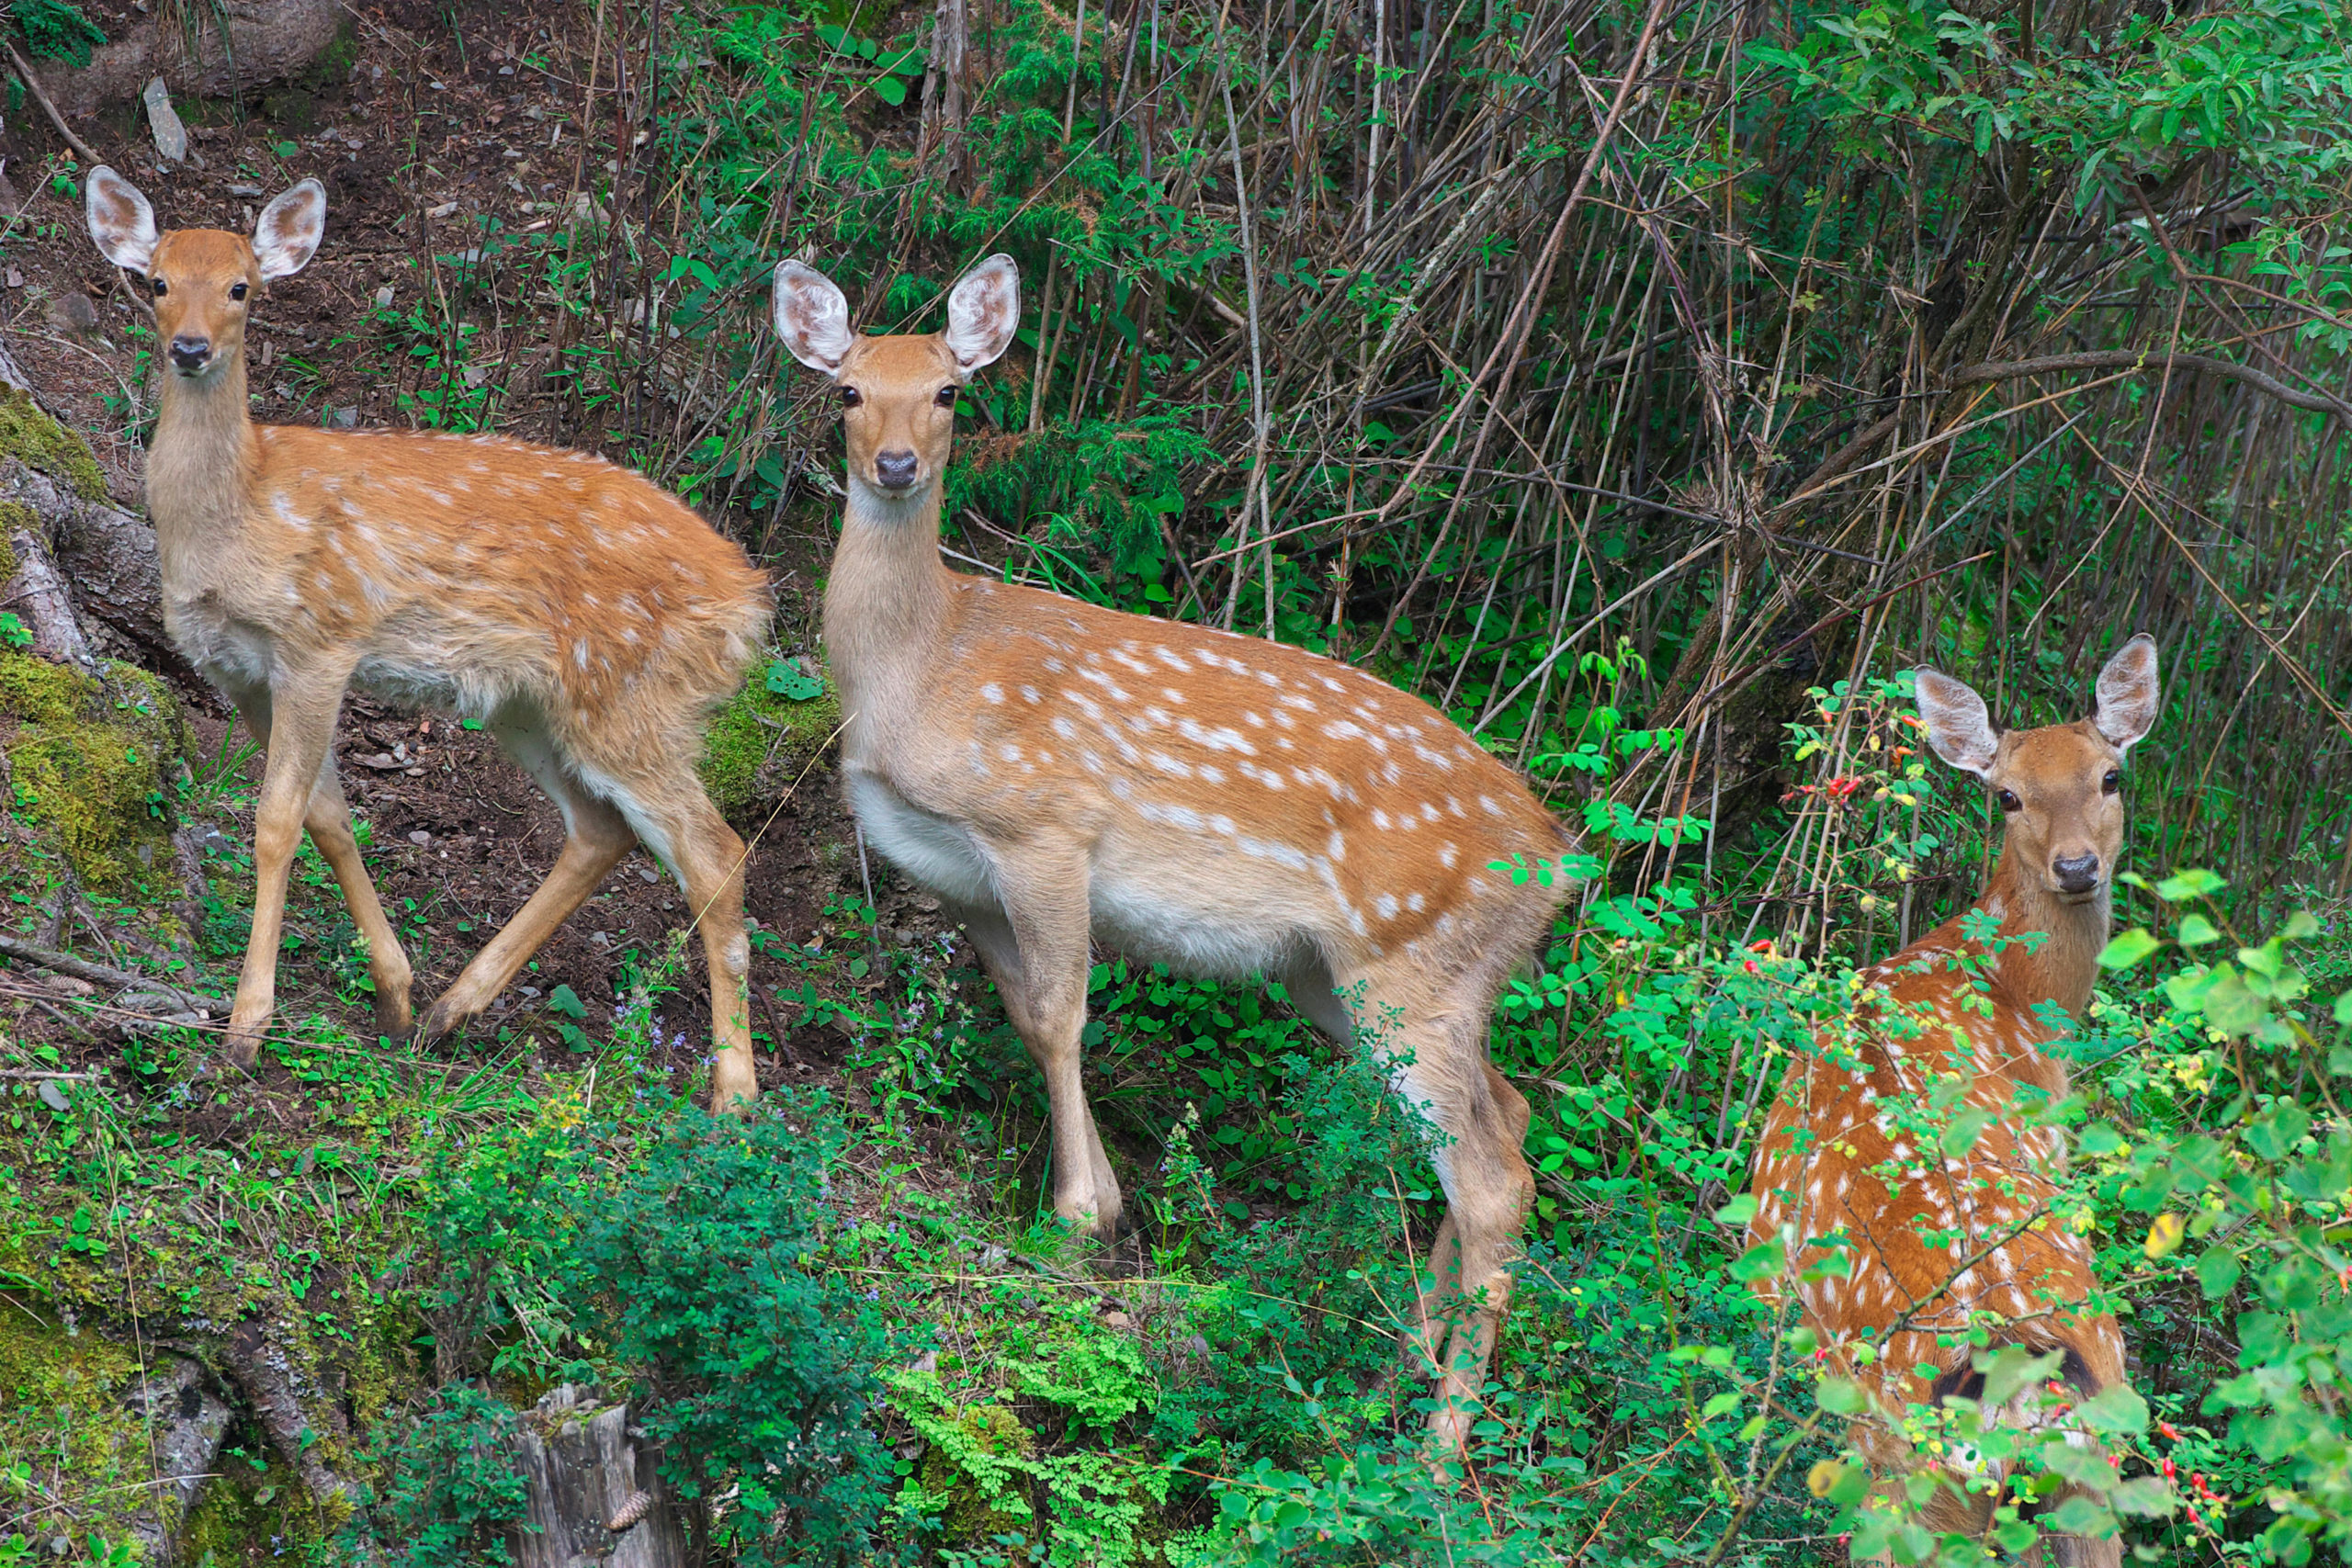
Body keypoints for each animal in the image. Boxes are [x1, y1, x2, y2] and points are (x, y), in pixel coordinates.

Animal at [85, 169, 771, 1104]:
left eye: (241, 288)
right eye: (155, 281)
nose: (189, 347)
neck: (239, 513)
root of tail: (750, 603)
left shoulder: (321, 639)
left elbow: (276, 822)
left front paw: (246, 1029)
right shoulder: (241, 672)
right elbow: (330, 818)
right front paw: (395, 996)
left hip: (636, 698)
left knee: (717, 854)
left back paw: (734, 1093)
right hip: (533, 706)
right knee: (603, 832)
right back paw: (452, 1011)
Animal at [775, 257, 1580, 1448]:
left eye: (950, 391)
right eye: (847, 390)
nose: (896, 463)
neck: (919, 668)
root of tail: (1558, 863)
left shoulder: (1046, 826)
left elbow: (1064, 1014)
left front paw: (1075, 1217)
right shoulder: (958, 878)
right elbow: (1028, 1016)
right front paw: (1105, 1200)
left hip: (1411, 966)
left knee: (1491, 1177)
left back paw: (1436, 1450)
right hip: (1356, 978)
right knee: (1508, 1118)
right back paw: (1391, 1377)